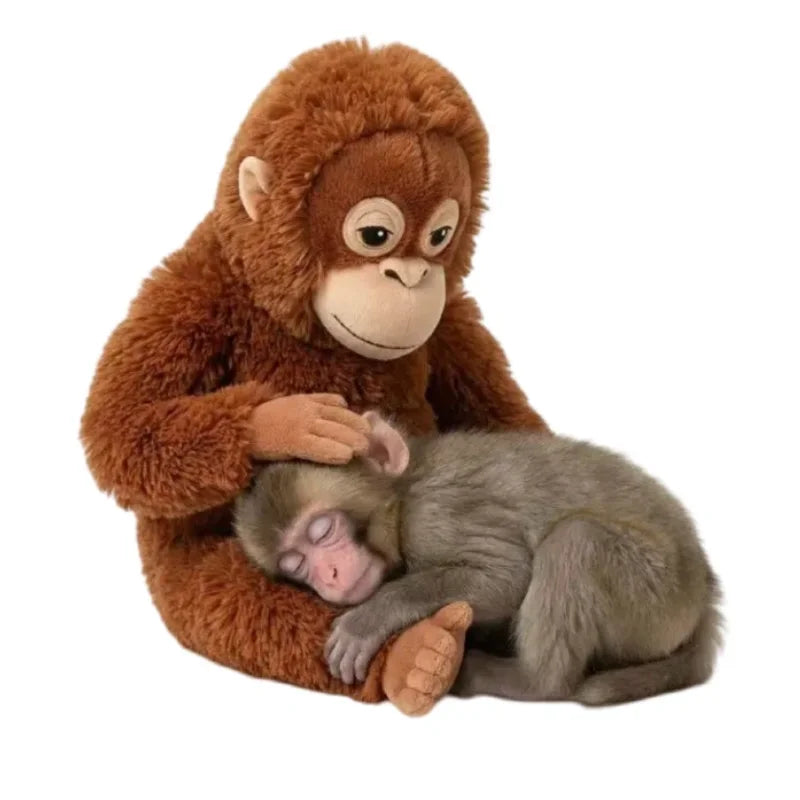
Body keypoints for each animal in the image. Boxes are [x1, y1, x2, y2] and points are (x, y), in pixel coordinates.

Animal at [234, 412, 722, 705]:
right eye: (296, 564)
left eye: (322, 530)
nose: (330, 575)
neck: (403, 496)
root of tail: (704, 592)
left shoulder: (435, 515)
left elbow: (509, 575)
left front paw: (372, 617)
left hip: (659, 600)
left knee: (575, 540)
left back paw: (526, 681)